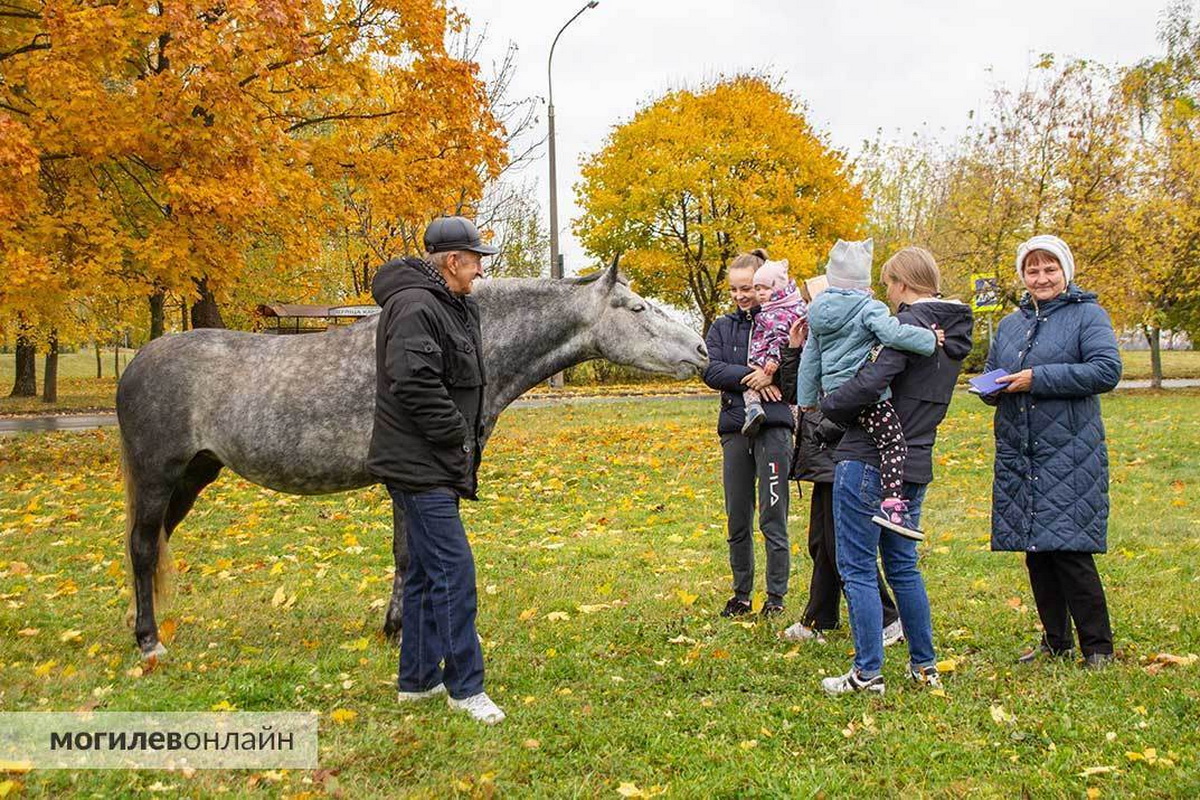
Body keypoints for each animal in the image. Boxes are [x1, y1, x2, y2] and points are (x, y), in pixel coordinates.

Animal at [117, 262, 705, 657]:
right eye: (638, 308)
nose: (701, 349)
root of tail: (137, 363)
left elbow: (413, 555)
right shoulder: (412, 480)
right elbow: (409, 556)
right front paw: (404, 632)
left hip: (193, 476)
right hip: (157, 475)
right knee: (143, 548)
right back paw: (149, 642)